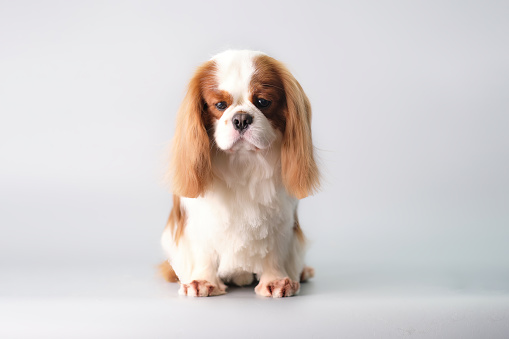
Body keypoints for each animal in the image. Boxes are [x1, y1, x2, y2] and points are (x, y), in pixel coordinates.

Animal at [160, 50, 318, 298]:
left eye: (263, 102)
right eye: (220, 105)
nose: (241, 118)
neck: (243, 163)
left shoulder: (280, 221)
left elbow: (274, 251)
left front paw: (275, 280)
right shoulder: (198, 221)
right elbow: (203, 251)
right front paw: (202, 281)